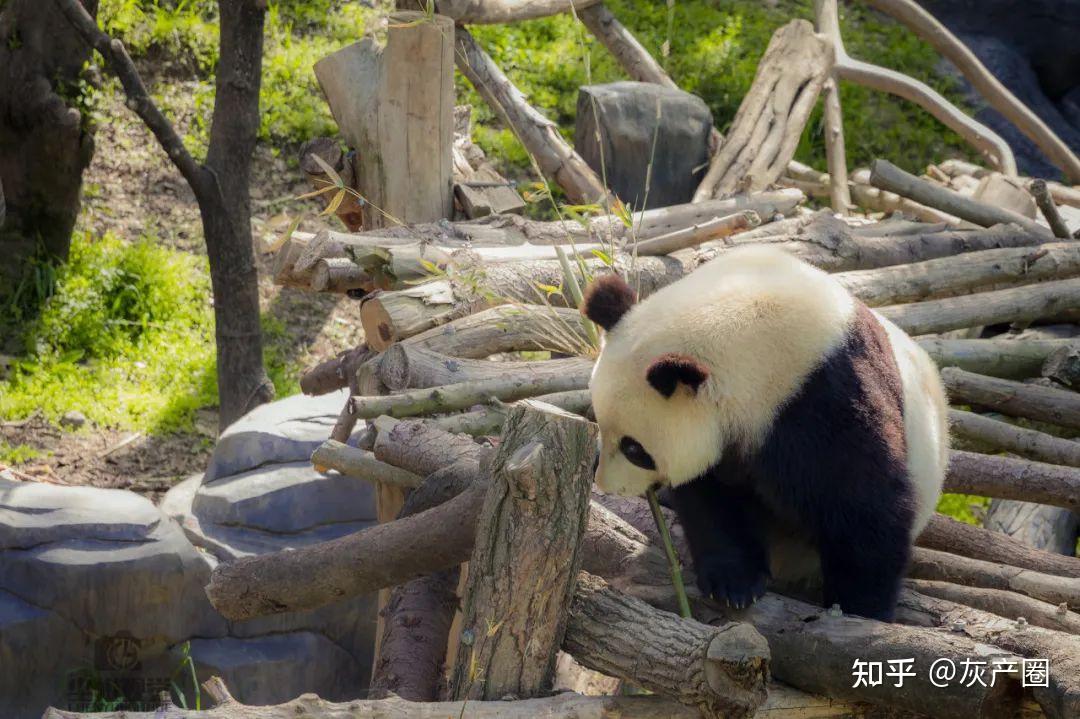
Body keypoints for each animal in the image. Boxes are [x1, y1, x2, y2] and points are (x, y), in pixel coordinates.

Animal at [583, 243, 946, 617]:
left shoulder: (822, 401)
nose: (606, 484)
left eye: (634, 449)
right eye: (598, 421)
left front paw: (859, 606)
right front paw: (733, 583)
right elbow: (710, 497)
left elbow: (863, 503)